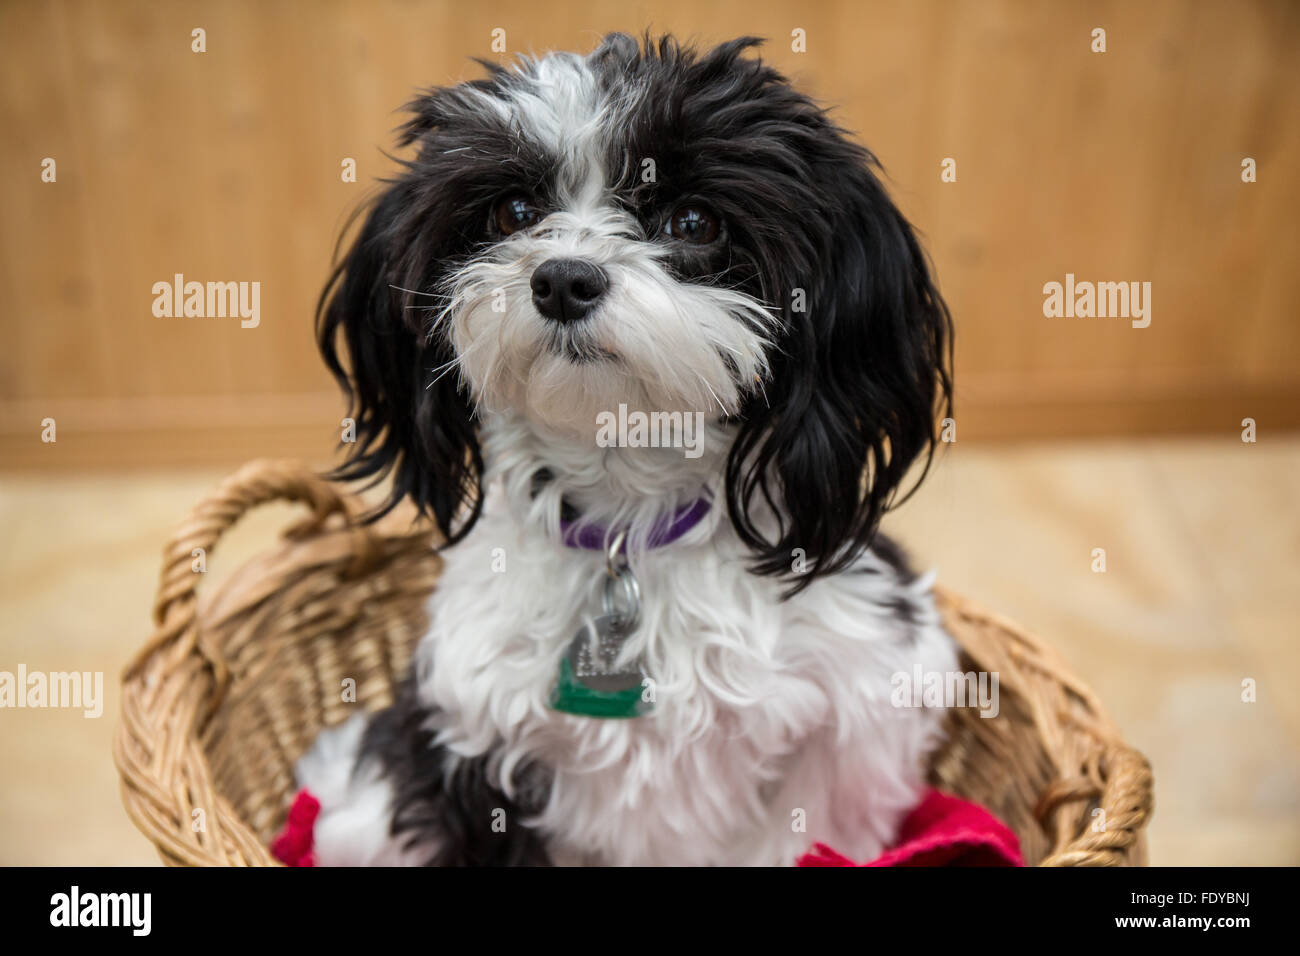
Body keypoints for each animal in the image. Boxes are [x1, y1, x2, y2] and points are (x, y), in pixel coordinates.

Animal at [299, 31, 961, 868]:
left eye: (694, 222)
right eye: (513, 210)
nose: (562, 278)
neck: (629, 520)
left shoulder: (860, 712)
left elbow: (806, 826)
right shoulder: (466, 736)